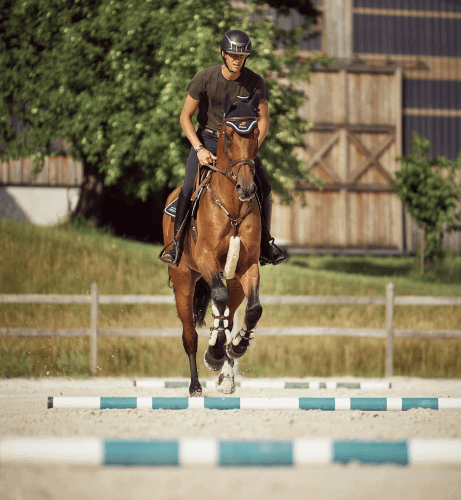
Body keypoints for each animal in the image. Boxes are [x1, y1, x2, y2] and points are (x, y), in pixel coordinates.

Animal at [161, 92, 262, 396]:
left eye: (255, 133)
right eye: (227, 135)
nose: (246, 188)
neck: (232, 208)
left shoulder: (248, 265)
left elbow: (253, 310)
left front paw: (236, 346)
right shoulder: (206, 260)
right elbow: (217, 297)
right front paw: (214, 354)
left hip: (234, 281)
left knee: (228, 316)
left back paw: (226, 374)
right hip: (183, 279)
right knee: (190, 334)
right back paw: (195, 384)